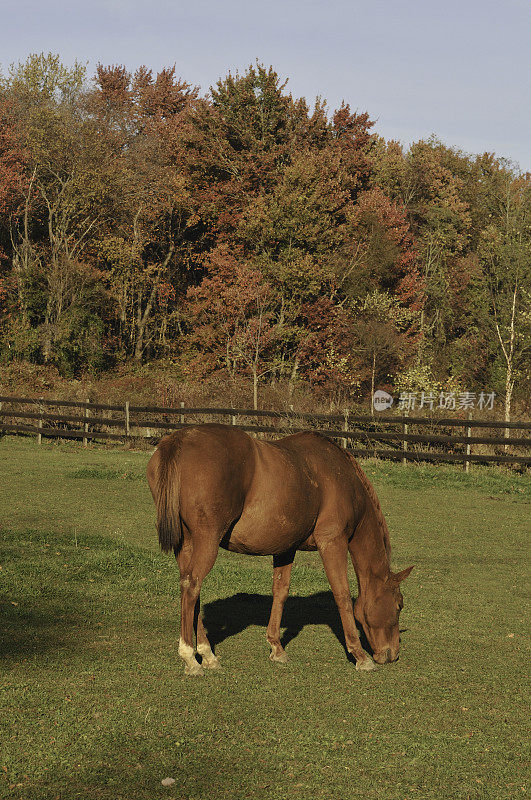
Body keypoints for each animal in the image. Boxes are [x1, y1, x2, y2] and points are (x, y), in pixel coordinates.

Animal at [148, 424, 414, 676]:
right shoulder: (333, 543)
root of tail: (179, 440)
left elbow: (280, 592)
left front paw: (276, 647)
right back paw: (191, 658)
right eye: (399, 605)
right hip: (206, 540)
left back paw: (208, 655)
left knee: (191, 589)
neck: (342, 477)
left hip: (187, 544)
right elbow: (342, 596)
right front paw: (359, 655)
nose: (392, 654)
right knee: (192, 585)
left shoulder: (286, 548)